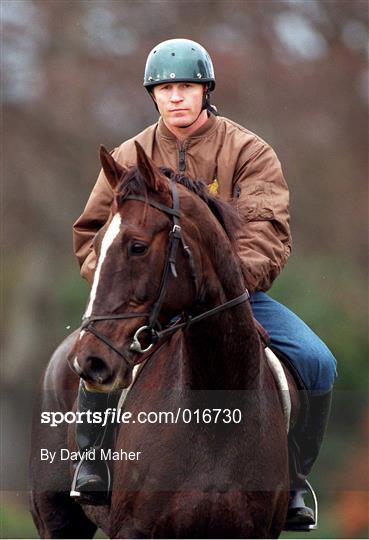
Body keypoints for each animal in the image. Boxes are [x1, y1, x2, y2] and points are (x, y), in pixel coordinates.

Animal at [29, 142, 296, 536]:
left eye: (137, 247)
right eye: (96, 243)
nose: (90, 360)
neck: (215, 419)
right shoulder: (134, 529)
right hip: (58, 520)